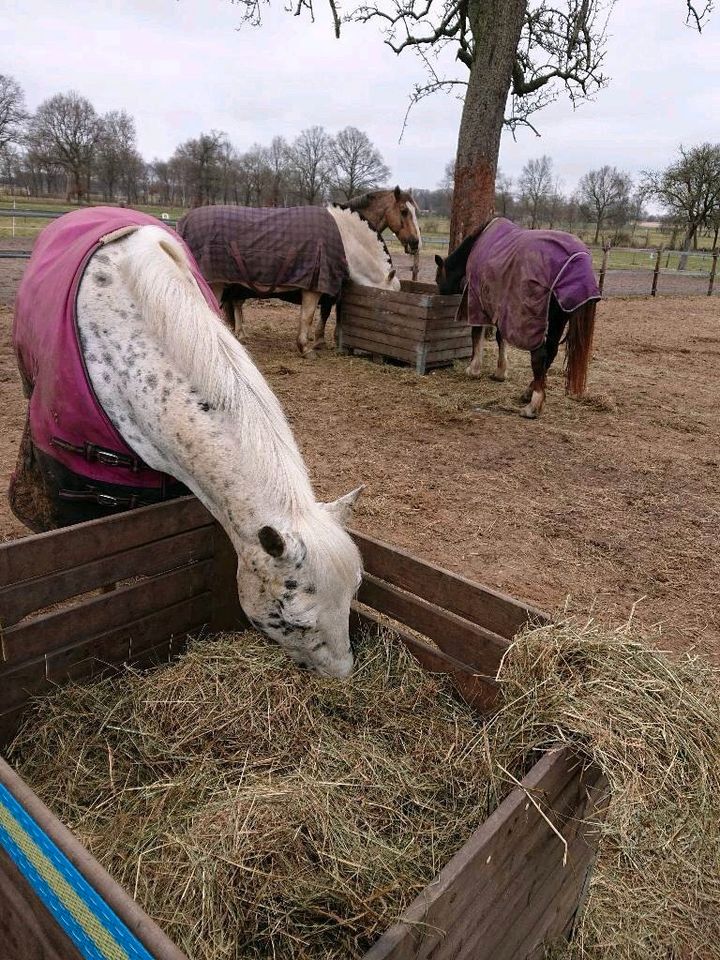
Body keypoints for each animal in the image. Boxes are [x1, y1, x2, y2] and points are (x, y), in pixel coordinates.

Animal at [174, 202, 400, 356]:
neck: (344, 238)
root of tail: (183, 222)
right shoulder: (314, 287)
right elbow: (307, 316)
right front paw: (305, 347)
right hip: (215, 283)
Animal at [436, 219, 600, 418]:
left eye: (438, 278)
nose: (439, 294)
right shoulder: (503, 308)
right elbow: (500, 337)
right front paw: (500, 372)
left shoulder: (478, 302)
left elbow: (477, 334)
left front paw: (473, 369)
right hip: (559, 319)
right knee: (551, 352)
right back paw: (529, 392)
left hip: (533, 321)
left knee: (539, 355)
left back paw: (533, 405)